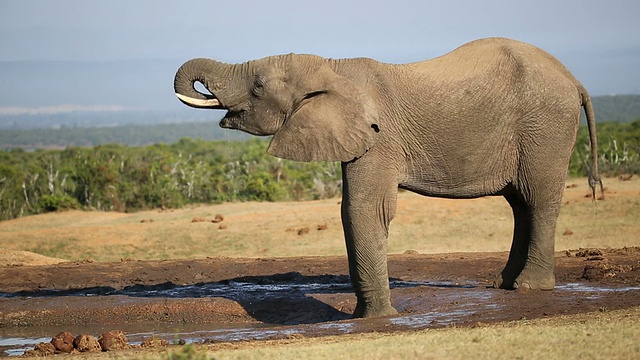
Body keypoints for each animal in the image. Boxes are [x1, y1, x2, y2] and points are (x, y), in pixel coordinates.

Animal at [174, 36, 600, 318]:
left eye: (258, 86)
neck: (333, 66)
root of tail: (574, 79)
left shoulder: (379, 138)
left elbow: (362, 210)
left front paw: (374, 319)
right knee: (519, 204)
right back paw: (505, 285)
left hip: (545, 126)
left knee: (538, 199)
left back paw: (530, 287)